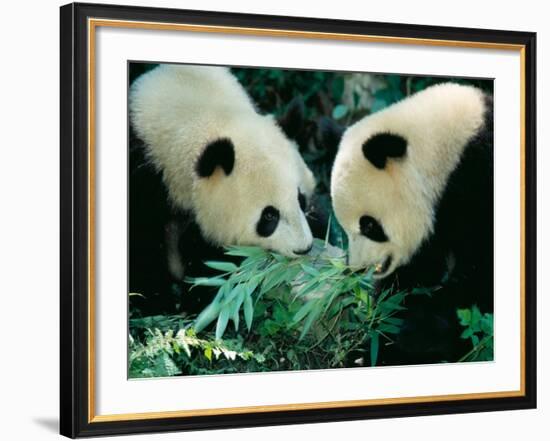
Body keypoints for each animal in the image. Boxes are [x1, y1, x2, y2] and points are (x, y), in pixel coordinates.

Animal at [129, 64, 316, 312]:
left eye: (301, 199)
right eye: (268, 216)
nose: (303, 248)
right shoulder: (146, 177)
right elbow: (144, 249)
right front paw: (166, 301)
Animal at [332, 82, 496, 364]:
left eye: (369, 225)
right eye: (345, 229)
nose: (357, 268)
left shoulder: (478, 186)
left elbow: (478, 279)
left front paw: (415, 340)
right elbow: (413, 274)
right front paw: (374, 343)